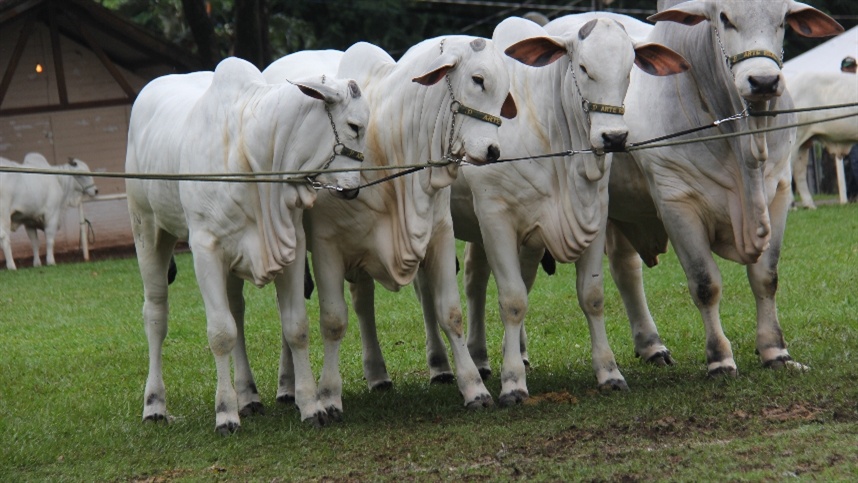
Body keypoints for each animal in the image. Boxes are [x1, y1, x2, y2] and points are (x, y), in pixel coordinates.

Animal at [126, 56, 368, 433]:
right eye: (354, 126)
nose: (354, 190)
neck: (252, 152)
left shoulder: (291, 244)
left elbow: (295, 327)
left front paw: (310, 405)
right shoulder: (205, 250)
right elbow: (220, 332)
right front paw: (225, 413)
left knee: (236, 311)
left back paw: (248, 395)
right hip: (147, 229)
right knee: (156, 314)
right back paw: (155, 404)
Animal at [263, 34, 564, 418]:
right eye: (478, 79)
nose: (494, 150)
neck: (392, 153)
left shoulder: (440, 234)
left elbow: (450, 313)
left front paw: (474, 387)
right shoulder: (327, 245)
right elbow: (332, 322)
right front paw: (328, 396)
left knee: (362, 302)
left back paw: (377, 374)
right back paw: (287, 387)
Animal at [604, 0, 842, 379]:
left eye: (783, 20)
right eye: (725, 18)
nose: (763, 81)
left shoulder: (779, 192)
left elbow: (766, 277)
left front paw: (775, 351)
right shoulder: (676, 202)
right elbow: (705, 285)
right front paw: (719, 358)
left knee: (625, 269)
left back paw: (652, 347)